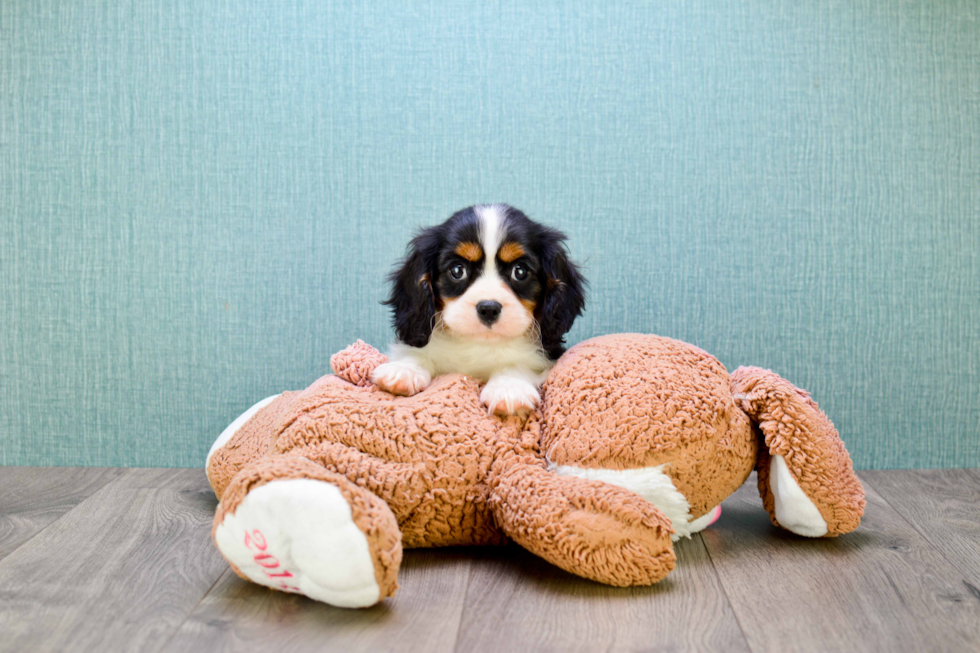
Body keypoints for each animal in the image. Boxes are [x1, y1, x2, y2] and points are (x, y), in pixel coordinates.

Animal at [368, 204, 580, 416]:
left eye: (520, 271)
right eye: (457, 270)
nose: (489, 308)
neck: (478, 343)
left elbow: (518, 364)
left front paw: (508, 388)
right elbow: (416, 351)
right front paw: (404, 369)